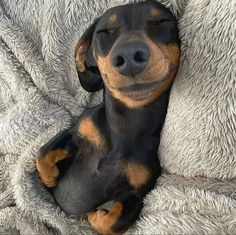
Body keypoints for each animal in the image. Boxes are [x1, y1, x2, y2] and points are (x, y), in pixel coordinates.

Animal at [36, 0, 180, 234]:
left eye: (161, 21)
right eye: (103, 32)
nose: (129, 55)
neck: (128, 121)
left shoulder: (138, 193)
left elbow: (114, 224)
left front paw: (96, 217)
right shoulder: (77, 131)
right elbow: (42, 153)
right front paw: (50, 178)